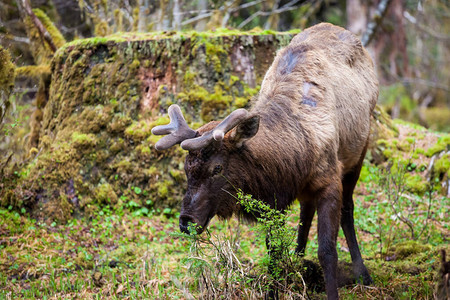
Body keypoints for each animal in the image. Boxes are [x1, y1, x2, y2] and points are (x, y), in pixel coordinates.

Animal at [153, 22, 378, 298]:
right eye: (186, 169)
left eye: (218, 167)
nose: (186, 222)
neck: (296, 157)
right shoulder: (277, 196)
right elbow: (273, 249)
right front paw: (276, 287)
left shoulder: (329, 180)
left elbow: (327, 251)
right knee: (306, 211)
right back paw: (298, 261)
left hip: (358, 152)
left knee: (348, 210)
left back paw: (362, 273)